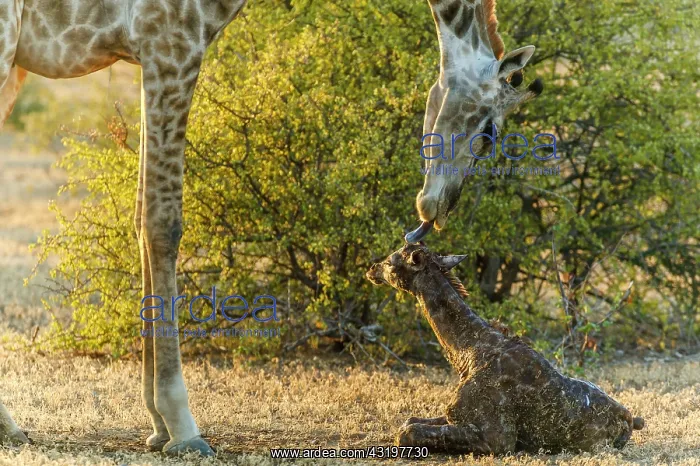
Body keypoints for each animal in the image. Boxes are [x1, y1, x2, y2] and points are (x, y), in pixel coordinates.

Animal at [0, 0, 249, 456]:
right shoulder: (172, 43)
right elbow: (163, 223)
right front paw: (183, 425)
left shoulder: (149, 55)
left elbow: (138, 218)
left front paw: (158, 424)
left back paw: (9, 428)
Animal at [366, 243, 645, 455]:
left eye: (390, 262)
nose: (372, 269)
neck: (465, 355)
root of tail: (631, 419)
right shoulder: (454, 415)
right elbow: (410, 421)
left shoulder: (499, 439)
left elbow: (407, 432)